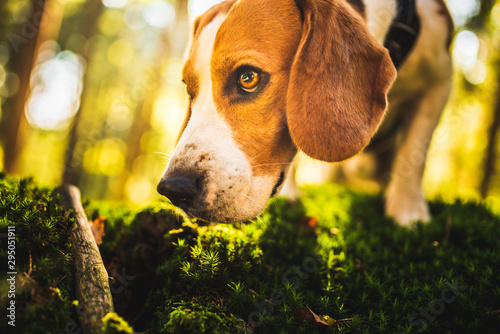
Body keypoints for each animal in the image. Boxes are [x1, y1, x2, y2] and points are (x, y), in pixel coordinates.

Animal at [156, 0, 454, 227]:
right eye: (189, 90)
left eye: (248, 78)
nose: (173, 189)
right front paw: (290, 192)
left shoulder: (441, 81)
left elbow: (415, 151)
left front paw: (407, 212)